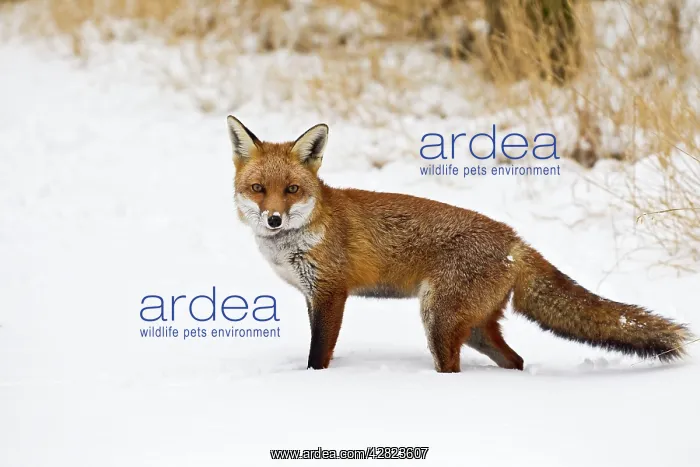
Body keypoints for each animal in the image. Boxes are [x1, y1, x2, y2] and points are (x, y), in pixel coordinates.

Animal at [227, 115, 693, 372]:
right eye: (258, 189)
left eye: (291, 189)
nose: (273, 219)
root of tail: (515, 240)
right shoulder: (312, 295)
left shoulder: (330, 293)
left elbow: (318, 354)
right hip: (475, 329)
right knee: (516, 360)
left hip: (439, 319)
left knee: (455, 368)